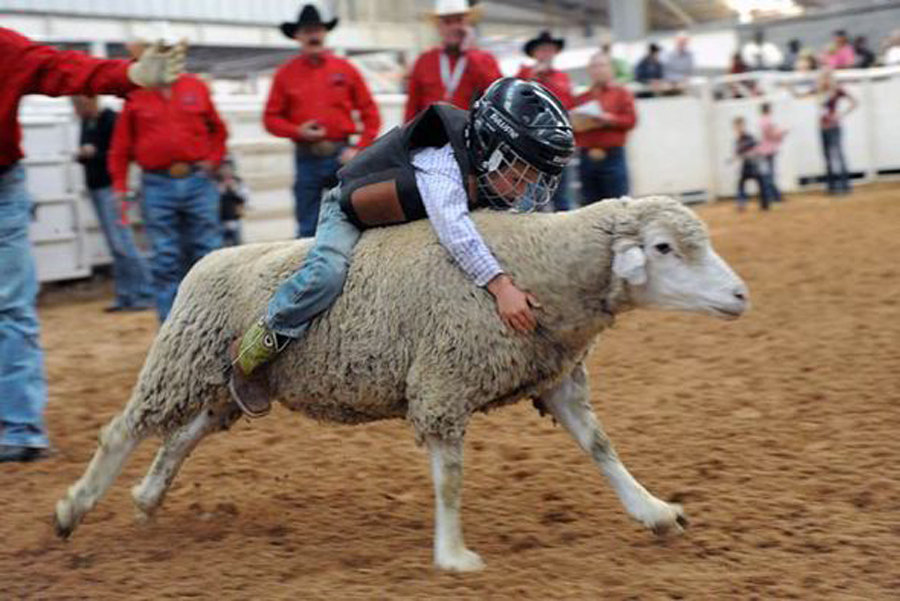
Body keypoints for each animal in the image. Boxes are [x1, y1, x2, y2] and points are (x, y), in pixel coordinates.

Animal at [52, 196, 748, 572]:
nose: (742, 294)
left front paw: (654, 511)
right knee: (124, 429)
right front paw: (453, 555)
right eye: (663, 247)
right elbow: (450, 478)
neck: (536, 268)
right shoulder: (443, 380)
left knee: (181, 437)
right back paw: (72, 509)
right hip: (180, 360)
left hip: (229, 387)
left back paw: (146, 498)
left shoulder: (554, 381)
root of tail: (206, 260)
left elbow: (602, 449)